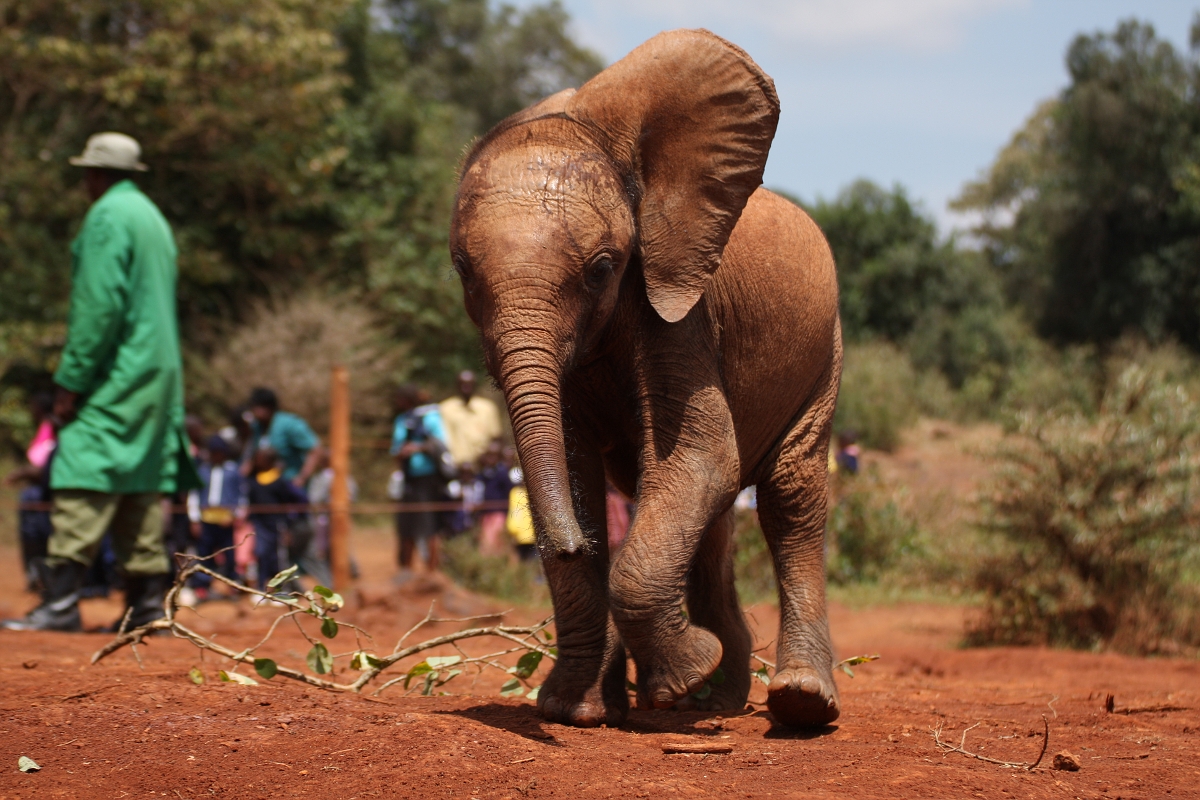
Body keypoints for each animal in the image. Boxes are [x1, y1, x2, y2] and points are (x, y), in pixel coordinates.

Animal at [449, 29, 842, 729]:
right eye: (463, 270)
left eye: (603, 268)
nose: (567, 545)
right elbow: (577, 466)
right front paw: (574, 711)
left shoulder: (679, 305)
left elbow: (701, 453)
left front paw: (685, 673)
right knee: (707, 517)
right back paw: (717, 698)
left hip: (824, 351)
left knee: (788, 498)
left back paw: (793, 702)